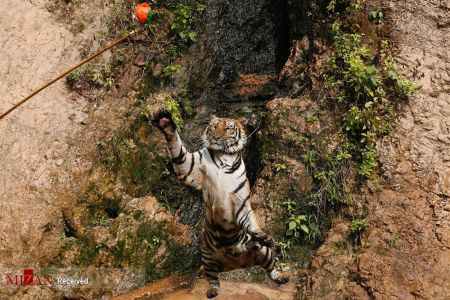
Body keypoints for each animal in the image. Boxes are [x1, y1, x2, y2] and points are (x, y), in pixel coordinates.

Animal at [151, 109, 290, 298]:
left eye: (228, 128)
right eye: (214, 126)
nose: (216, 137)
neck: (224, 156)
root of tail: (236, 265)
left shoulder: (240, 203)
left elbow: (250, 222)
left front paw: (261, 235)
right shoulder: (190, 167)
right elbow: (179, 151)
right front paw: (165, 123)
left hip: (265, 252)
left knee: (269, 266)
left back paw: (277, 272)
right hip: (207, 257)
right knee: (213, 278)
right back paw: (212, 291)